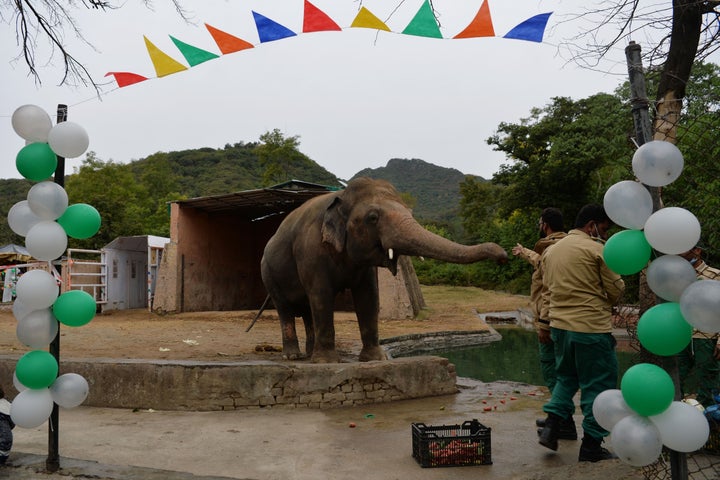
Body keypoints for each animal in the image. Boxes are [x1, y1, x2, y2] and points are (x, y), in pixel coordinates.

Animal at [258, 178, 506, 362]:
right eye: (373, 218)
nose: (502, 255)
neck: (341, 196)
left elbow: (369, 297)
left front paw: (374, 359)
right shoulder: (310, 251)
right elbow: (321, 295)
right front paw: (327, 363)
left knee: (307, 310)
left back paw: (309, 354)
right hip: (268, 273)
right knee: (286, 309)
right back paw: (293, 356)